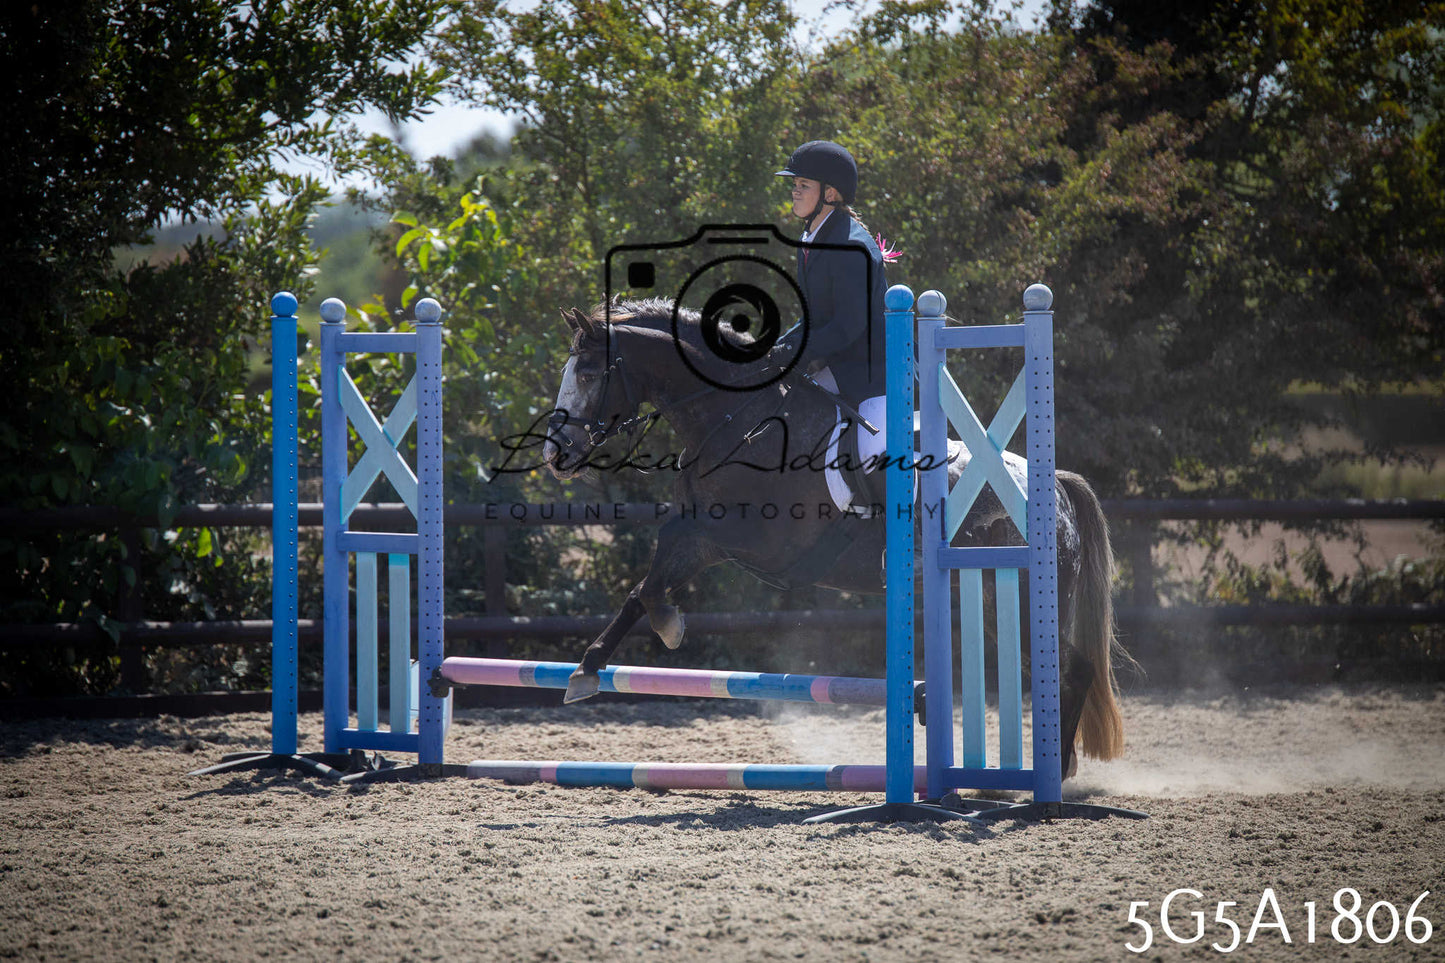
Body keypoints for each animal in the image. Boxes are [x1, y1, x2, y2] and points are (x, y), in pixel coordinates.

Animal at [539, 297, 1127, 780]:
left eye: (587, 372)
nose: (555, 453)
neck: (738, 417)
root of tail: (1056, 487)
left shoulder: (747, 537)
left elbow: (658, 571)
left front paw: (666, 625)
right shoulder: (704, 534)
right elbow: (645, 586)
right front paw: (592, 667)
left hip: (1020, 593)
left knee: (1073, 668)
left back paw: (1059, 774)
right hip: (989, 596)